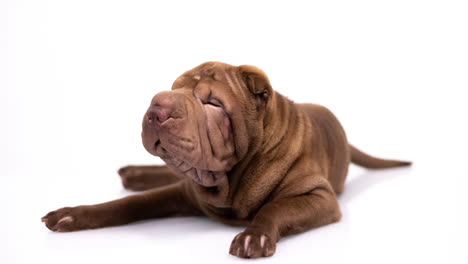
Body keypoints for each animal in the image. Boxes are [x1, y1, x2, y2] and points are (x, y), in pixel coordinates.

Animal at [42, 61, 412, 258]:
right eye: (174, 89)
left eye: (212, 104)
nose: (156, 107)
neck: (231, 179)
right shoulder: (184, 193)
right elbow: (127, 205)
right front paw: (72, 215)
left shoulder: (319, 197)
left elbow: (275, 208)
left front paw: (254, 236)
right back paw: (133, 174)